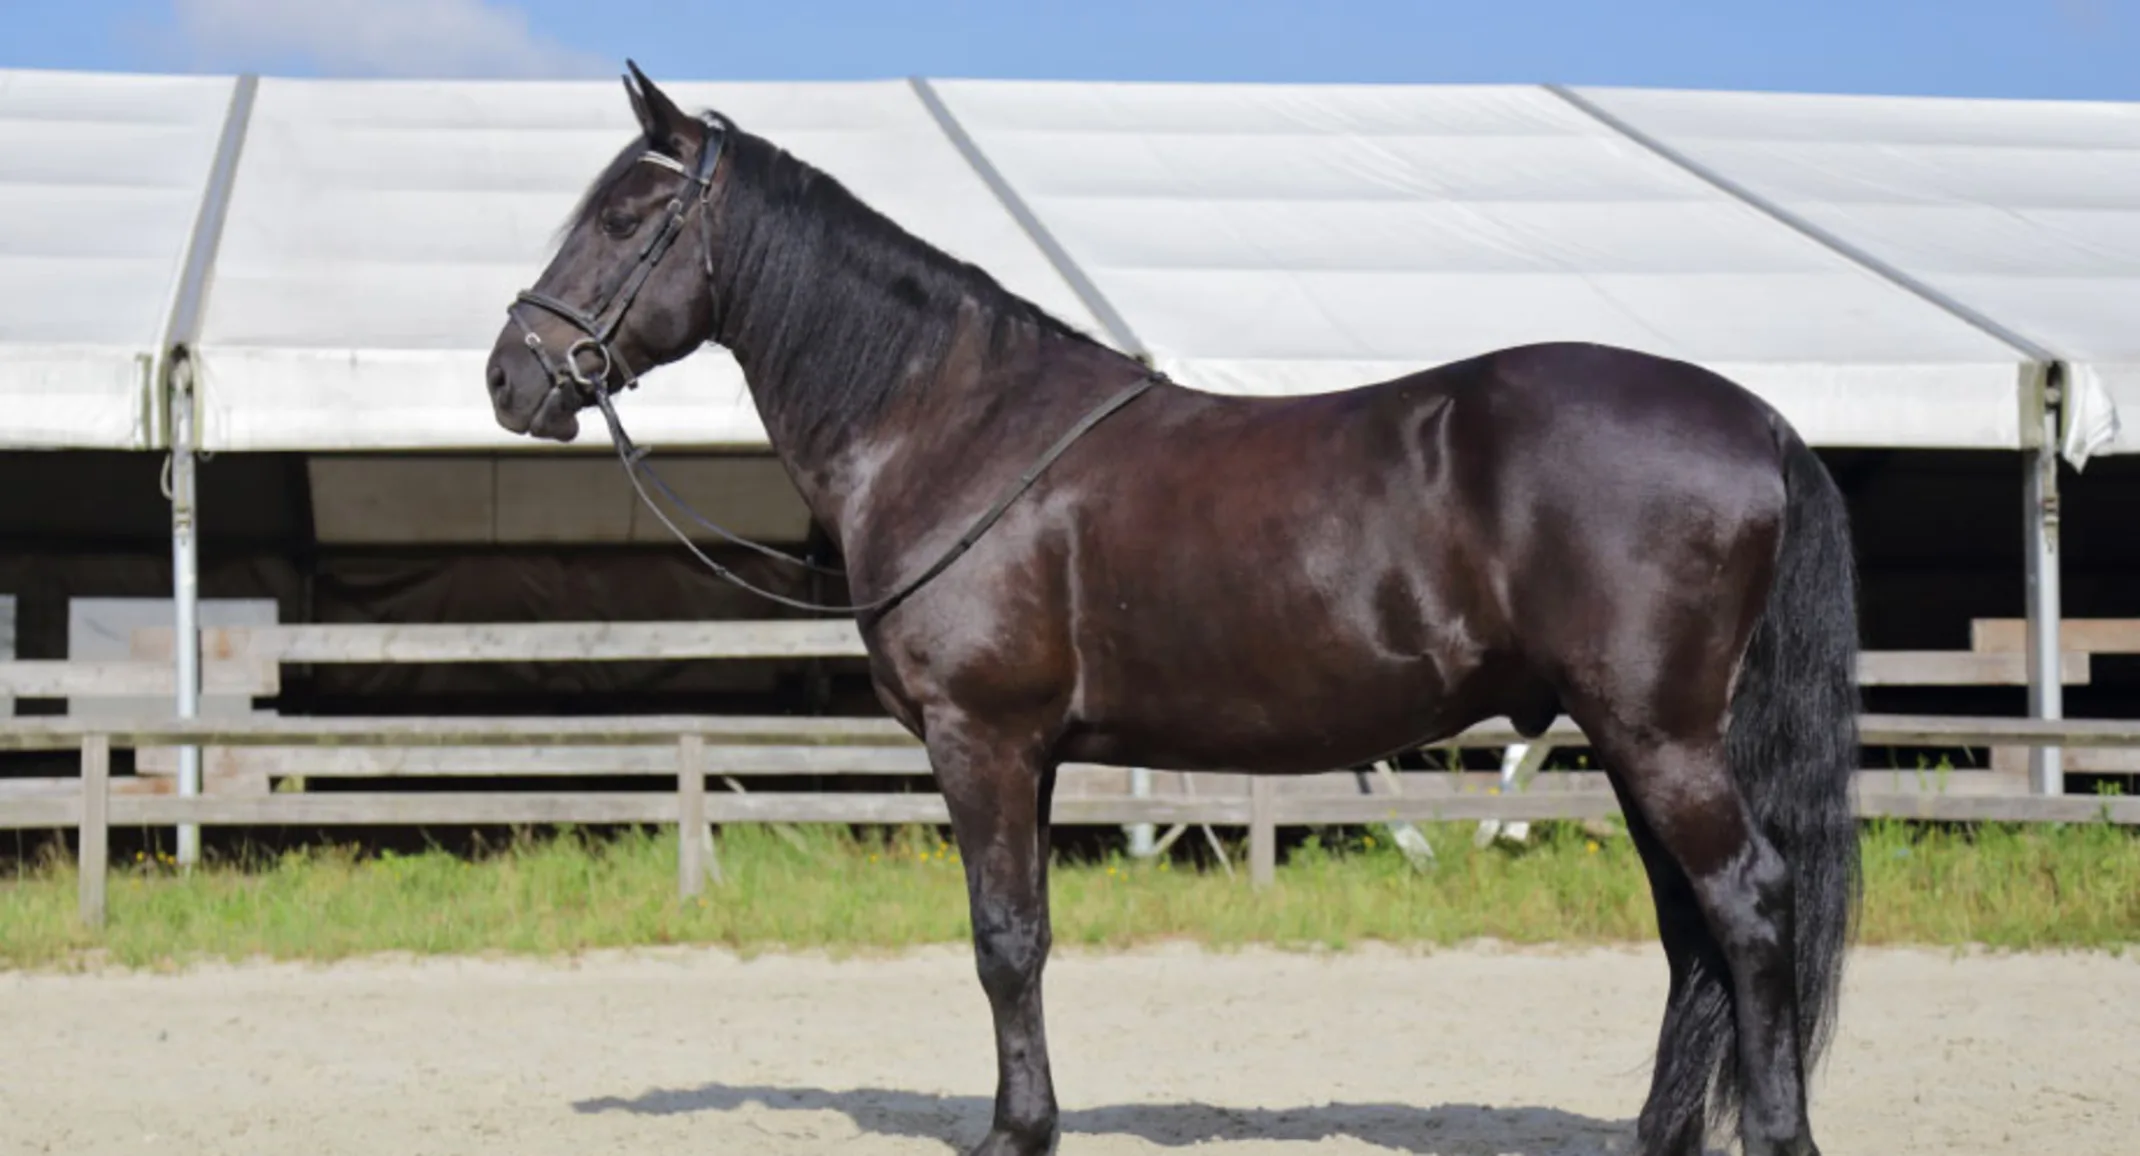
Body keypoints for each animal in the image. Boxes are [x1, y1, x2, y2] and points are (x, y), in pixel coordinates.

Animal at [484, 64, 1862, 1156]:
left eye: (627, 215)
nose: (509, 377)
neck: (951, 425)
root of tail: (1758, 420)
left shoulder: (981, 738)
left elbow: (1001, 939)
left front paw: (1014, 1134)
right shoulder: (1034, 753)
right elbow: (1028, 934)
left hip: (1658, 736)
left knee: (1747, 906)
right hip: (1633, 739)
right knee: (1689, 931)